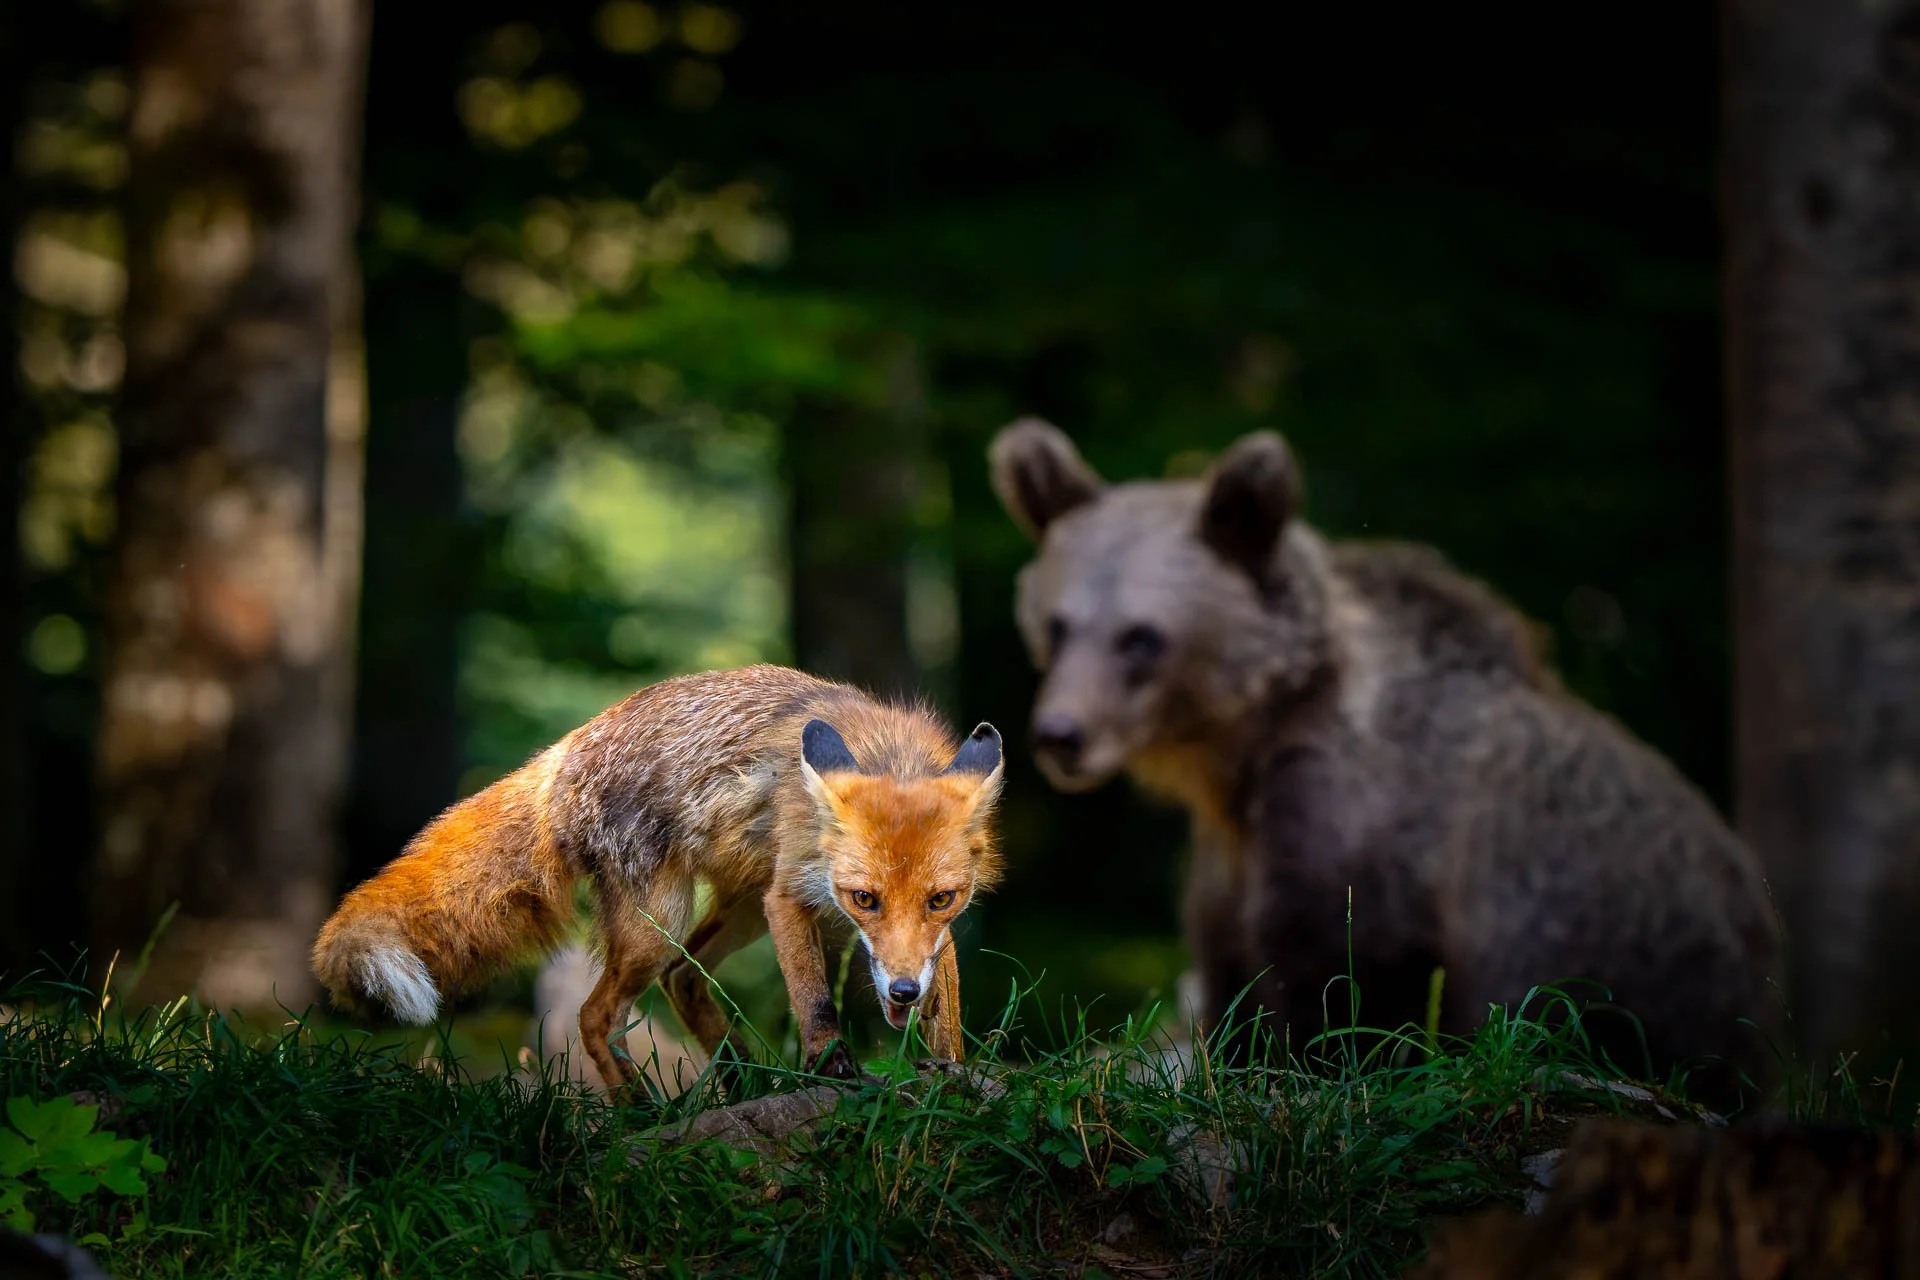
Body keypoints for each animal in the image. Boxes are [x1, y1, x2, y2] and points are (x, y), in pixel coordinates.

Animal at [310, 665, 1006, 1086]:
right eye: (863, 899)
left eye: (941, 899)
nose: (902, 994)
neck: (888, 755)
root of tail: (571, 745)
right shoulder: (788, 897)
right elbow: (814, 1001)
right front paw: (832, 1068)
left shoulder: (930, 934)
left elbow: (948, 1013)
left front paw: (954, 1076)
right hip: (663, 922)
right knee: (596, 1016)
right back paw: (642, 1110)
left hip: (734, 912)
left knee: (682, 981)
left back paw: (739, 1081)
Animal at [988, 418, 1783, 1110]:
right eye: (1057, 625)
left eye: (1141, 637)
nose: (1060, 733)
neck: (1243, 754)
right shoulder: (1229, 859)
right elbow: (1231, 979)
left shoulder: (1357, 830)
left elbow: (1341, 978)